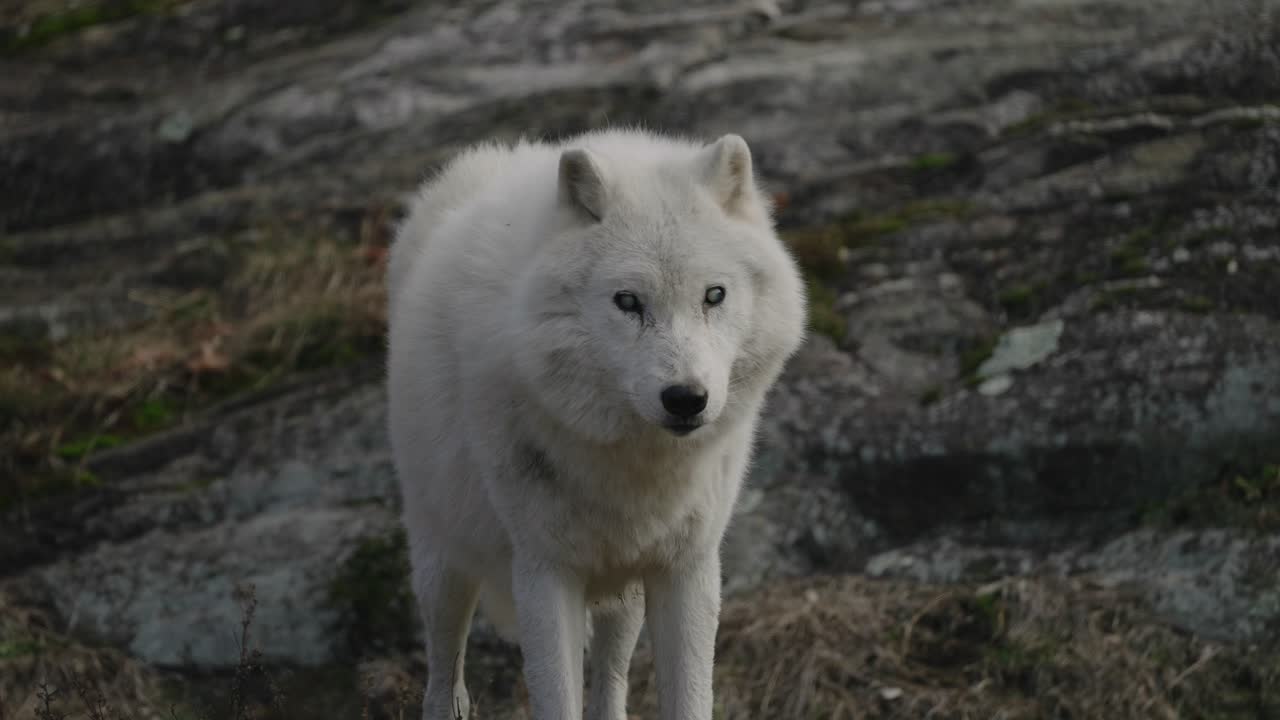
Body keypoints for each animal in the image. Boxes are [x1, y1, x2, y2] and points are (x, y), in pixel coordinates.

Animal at [386, 128, 807, 720]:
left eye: (714, 295)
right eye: (627, 301)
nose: (686, 399)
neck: (636, 468)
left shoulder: (687, 569)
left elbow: (688, 697)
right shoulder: (544, 572)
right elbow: (557, 698)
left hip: (621, 598)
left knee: (610, 679)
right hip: (443, 566)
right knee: (444, 675)